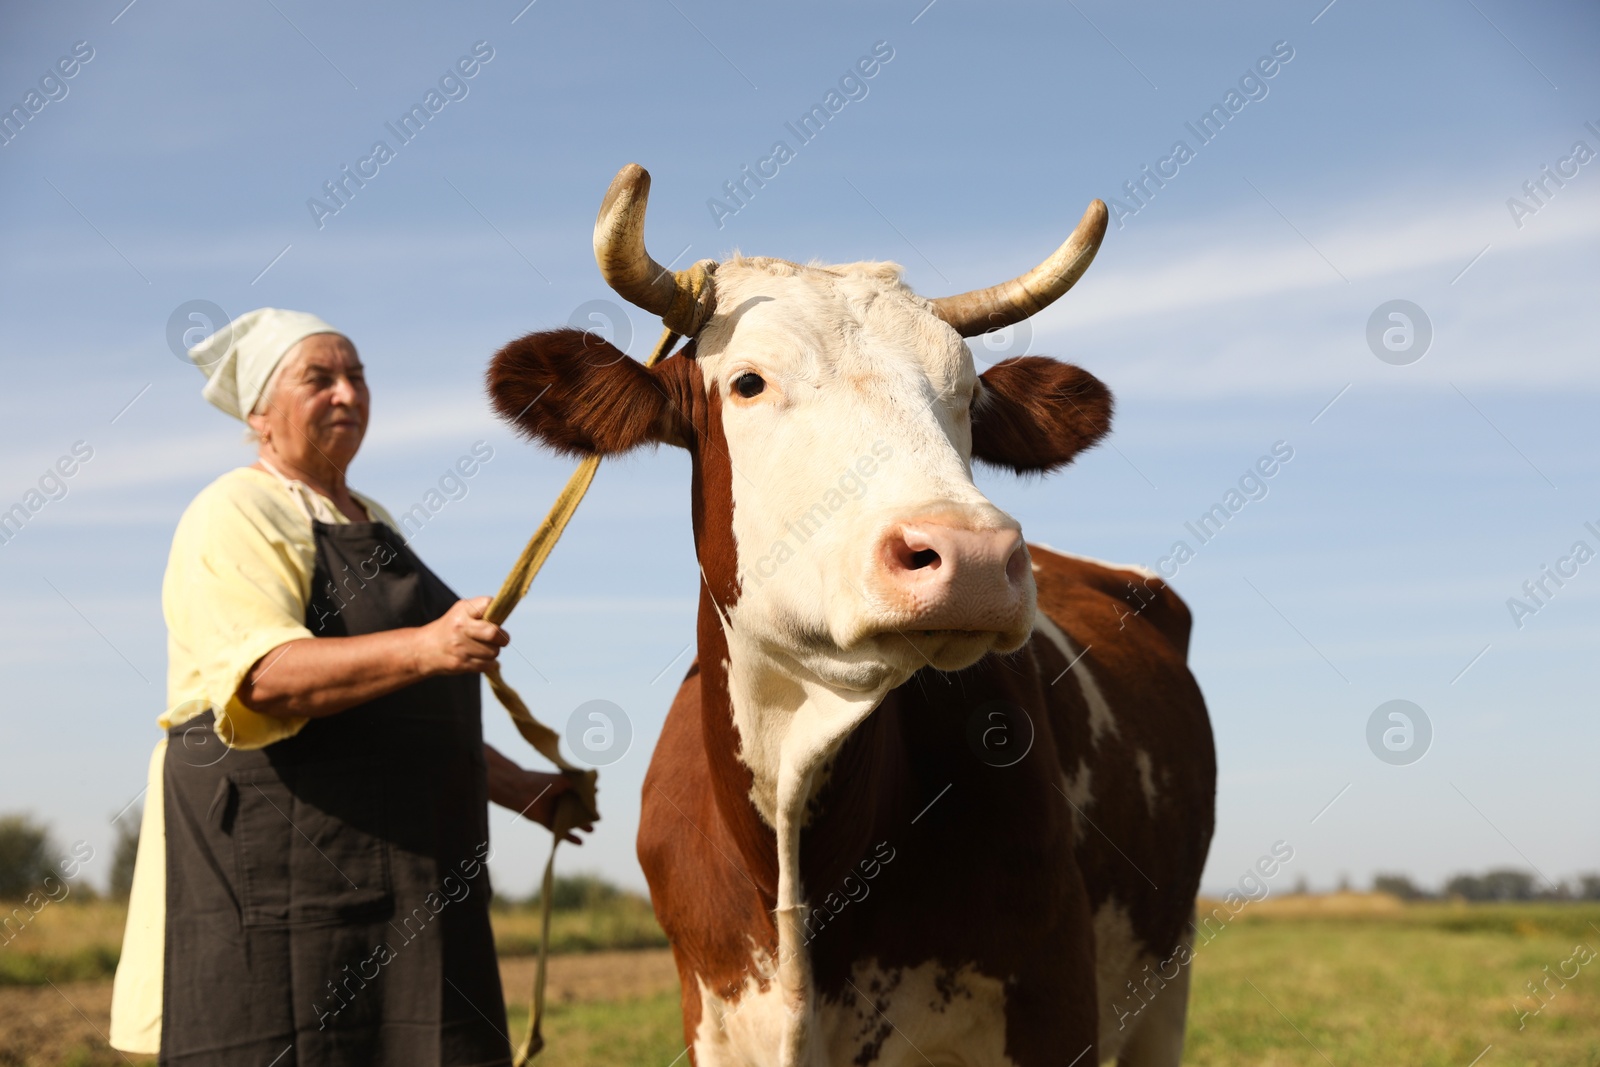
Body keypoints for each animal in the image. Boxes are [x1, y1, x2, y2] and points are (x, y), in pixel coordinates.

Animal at [486, 167, 1209, 1067]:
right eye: (749, 382)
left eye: (967, 394)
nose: (973, 555)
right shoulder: (711, 1022)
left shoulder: (1054, 1006)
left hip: (1167, 981)